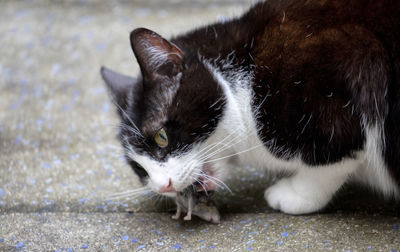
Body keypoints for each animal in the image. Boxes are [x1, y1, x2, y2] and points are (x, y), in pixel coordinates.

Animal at [100, 0, 400, 216]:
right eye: (138, 168)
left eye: (161, 137)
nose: (164, 186)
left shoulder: (347, 59)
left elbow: (333, 157)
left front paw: (296, 195)